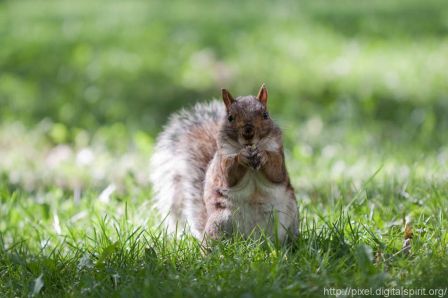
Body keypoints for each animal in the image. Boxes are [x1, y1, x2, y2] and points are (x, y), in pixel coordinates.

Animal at [150, 84, 298, 242]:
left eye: (265, 115)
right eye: (230, 117)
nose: (248, 132)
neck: (248, 147)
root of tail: (253, 239)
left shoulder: (278, 154)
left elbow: (276, 172)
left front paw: (262, 155)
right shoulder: (222, 161)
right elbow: (229, 174)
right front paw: (241, 157)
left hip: (291, 217)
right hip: (219, 222)